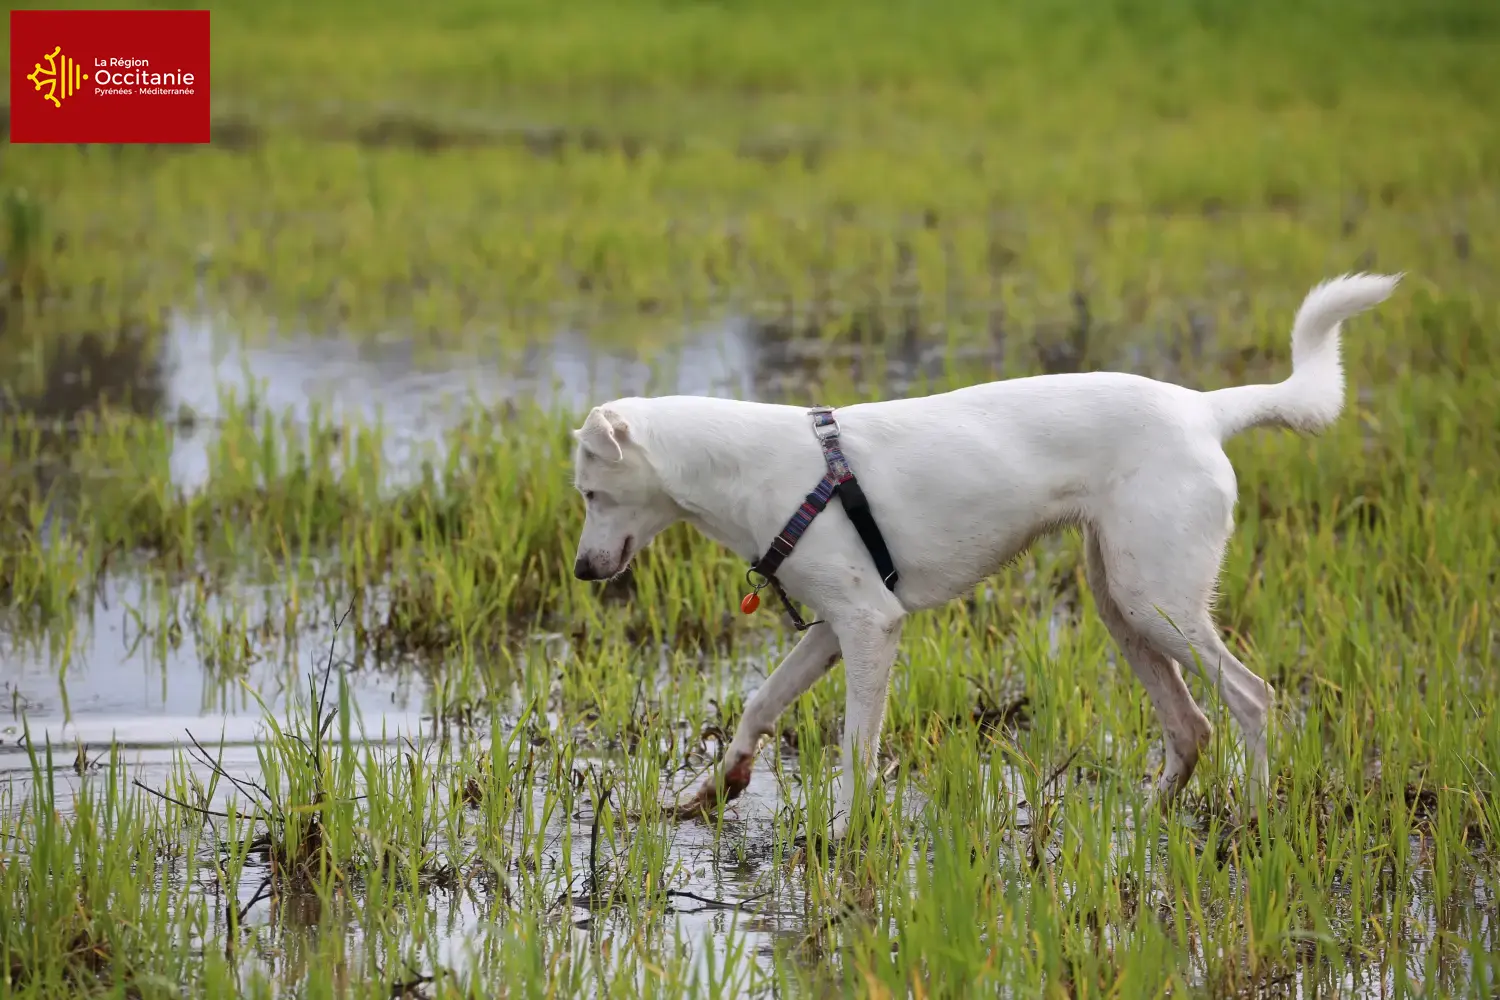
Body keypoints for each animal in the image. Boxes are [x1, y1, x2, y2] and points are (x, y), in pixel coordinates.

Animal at [567, 271, 1398, 839]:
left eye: (590, 493)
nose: (580, 571)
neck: (747, 466)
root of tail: (1203, 408)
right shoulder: (834, 628)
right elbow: (760, 701)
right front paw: (713, 788)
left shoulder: (871, 626)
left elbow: (856, 748)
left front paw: (840, 835)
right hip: (1123, 605)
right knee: (1191, 726)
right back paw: (1137, 821)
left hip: (1157, 600)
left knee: (1251, 698)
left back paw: (1252, 818)